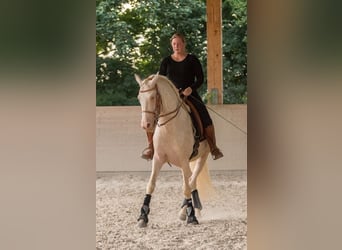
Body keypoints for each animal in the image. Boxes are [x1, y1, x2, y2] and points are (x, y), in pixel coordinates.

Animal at [135, 73, 215, 228]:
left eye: (153, 97)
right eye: (139, 98)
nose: (146, 125)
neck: (169, 127)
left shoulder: (184, 160)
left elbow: (186, 187)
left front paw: (192, 216)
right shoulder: (158, 159)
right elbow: (151, 185)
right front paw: (143, 216)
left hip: (201, 158)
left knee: (191, 182)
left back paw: (191, 211)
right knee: (189, 182)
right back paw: (186, 211)